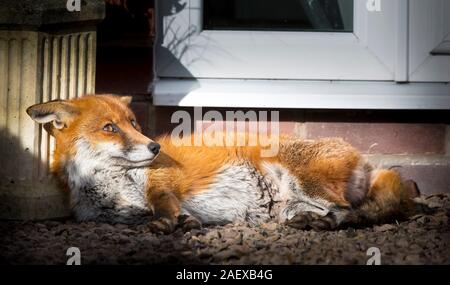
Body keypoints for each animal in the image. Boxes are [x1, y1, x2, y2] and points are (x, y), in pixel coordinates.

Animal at [26, 94, 416, 232]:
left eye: (133, 123)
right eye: (110, 128)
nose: (154, 146)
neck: (113, 184)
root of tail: (365, 159)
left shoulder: (161, 184)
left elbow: (161, 205)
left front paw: (172, 222)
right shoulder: (113, 214)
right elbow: (147, 215)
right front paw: (179, 223)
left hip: (306, 182)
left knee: (351, 212)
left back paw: (330, 222)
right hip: (288, 206)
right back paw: (310, 222)